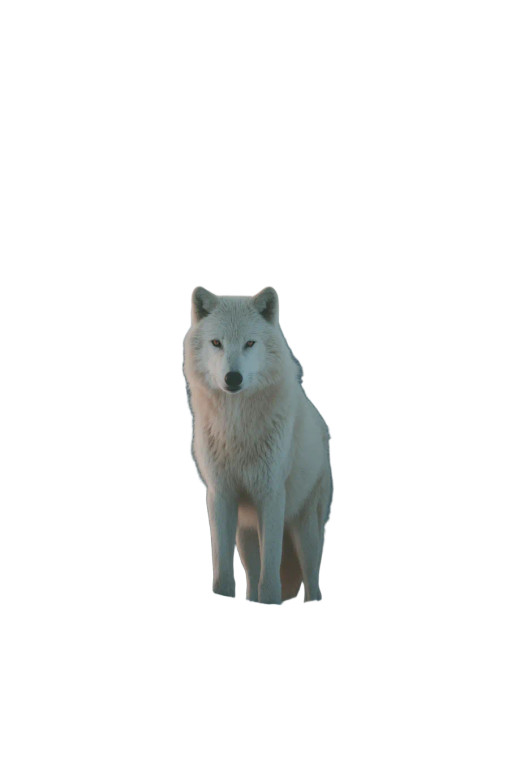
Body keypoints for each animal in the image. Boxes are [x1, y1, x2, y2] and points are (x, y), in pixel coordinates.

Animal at [183, 287, 332, 604]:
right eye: (217, 343)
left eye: (250, 343)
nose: (233, 378)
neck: (236, 425)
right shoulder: (220, 494)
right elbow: (222, 570)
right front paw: (223, 596)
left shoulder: (272, 494)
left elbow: (271, 573)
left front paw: (271, 601)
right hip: (245, 534)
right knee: (252, 577)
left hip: (307, 532)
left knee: (313, 584)